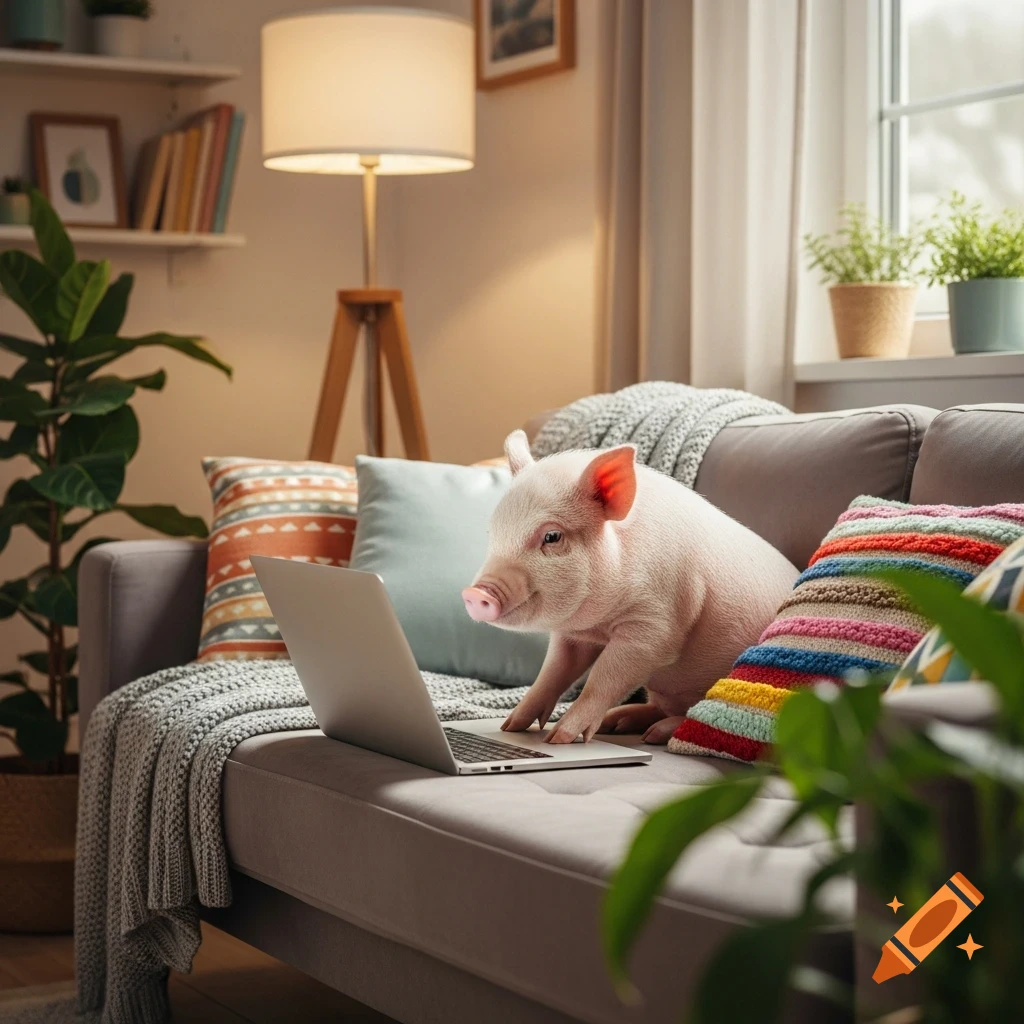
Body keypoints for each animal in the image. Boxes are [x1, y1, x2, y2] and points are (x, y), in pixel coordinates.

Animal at [462, 430, 799, 745]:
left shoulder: (657, 625)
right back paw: (619, 722)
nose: (474, 594)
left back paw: (652, 735)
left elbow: (604, 677)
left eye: (552, 536)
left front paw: (559, 738)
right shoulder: (573, 634)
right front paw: (511, 726)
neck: (599, 623)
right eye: (494, 533)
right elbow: (553, 672)